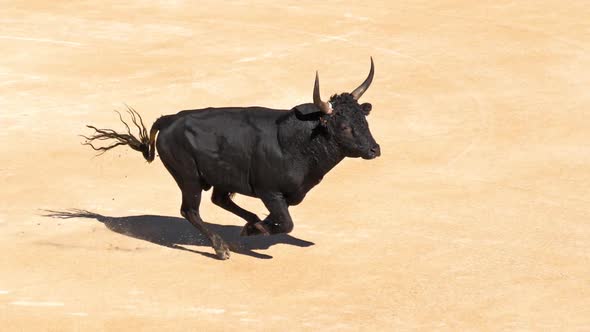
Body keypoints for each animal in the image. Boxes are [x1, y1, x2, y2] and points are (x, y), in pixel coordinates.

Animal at [83, 58, 382, 258]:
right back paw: (222, 247)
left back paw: (249, 223)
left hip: (219, 176)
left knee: (219, 199)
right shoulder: (270, 191)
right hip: (188, 177)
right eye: (343, 126)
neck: (301, 140)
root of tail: (169, 119)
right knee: (190, 210)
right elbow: (286, 223)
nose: (374, 150)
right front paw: (256, 230)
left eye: (364, 120)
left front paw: (255, 226)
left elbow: (279, 218)